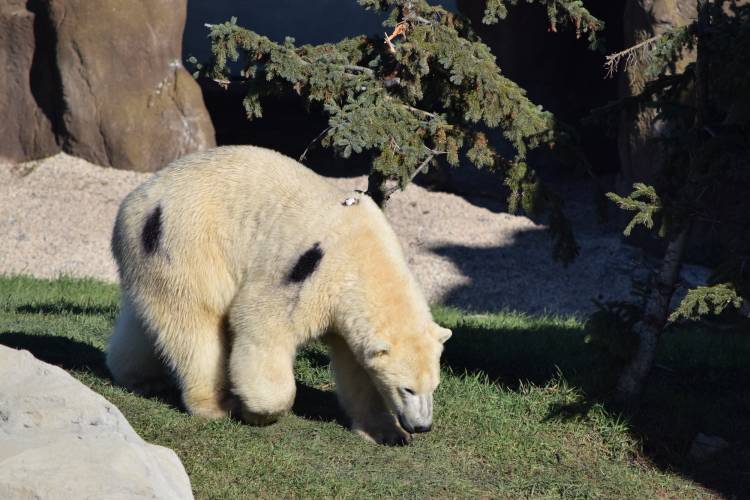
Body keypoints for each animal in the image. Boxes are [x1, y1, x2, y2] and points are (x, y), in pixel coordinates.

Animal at [106, 146, 452, 446]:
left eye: (434, 386)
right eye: (407, 389)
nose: (422, 426)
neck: (364, 256)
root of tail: (135, 201)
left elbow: (356, 367)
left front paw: (390, 433)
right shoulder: (308, 274)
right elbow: (261, 323)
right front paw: (258, 411)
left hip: (151, 254)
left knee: (147, 315)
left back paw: (136, 376)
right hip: (187, 241)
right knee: (195, 323)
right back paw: (213, 404)